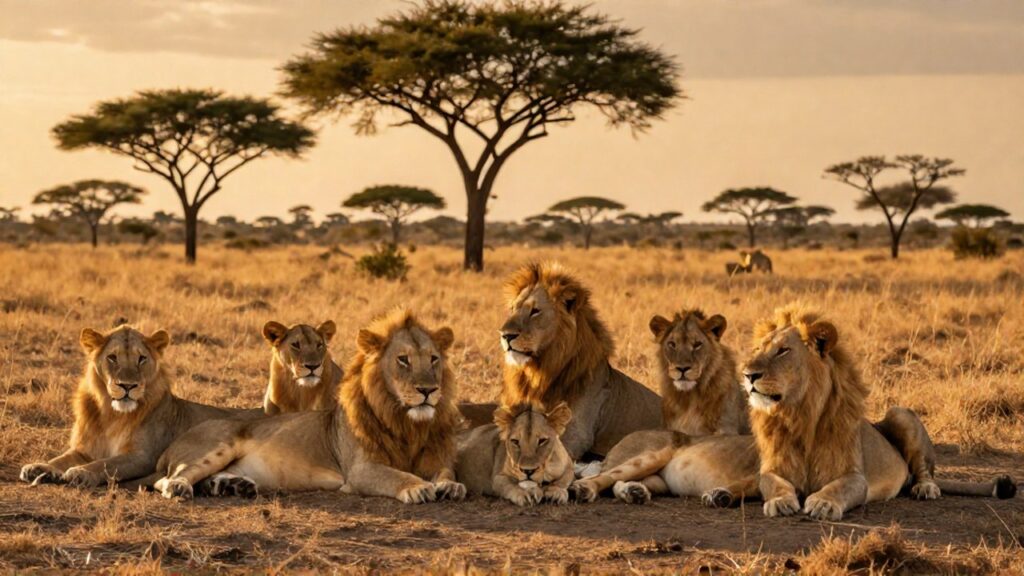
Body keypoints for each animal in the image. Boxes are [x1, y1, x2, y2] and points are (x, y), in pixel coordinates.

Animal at [19, 326, 258, 488]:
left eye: (141, 358)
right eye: (112, 357)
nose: (127, 385)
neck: (111, 414)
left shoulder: (143, 457)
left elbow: (106, 464)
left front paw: (79, 472)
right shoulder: (84, 449)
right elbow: (61, 458)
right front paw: (39, 467)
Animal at [151, 308, 467, 504]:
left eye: (433, 359)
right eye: (403, 360)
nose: (428, 390)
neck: (406, 421)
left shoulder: (433, 459)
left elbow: (448, 473)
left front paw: (450, 486)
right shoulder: (359, 470)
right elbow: (396, 475)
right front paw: (418, 487)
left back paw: (233, 486)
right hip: (216, 444)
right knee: (168, 478)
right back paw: (180, 487)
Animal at [744, 304, 1016, 521]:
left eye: (783, 350)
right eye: (757, 349)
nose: (747, 374)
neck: (800, 414)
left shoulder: (856, 476)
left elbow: (839, 487)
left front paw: (824, 503)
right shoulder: (773, 468)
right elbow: (773, 483)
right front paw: (780, 501)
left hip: (900, 414)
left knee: (924, 471)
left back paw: (926, 489)